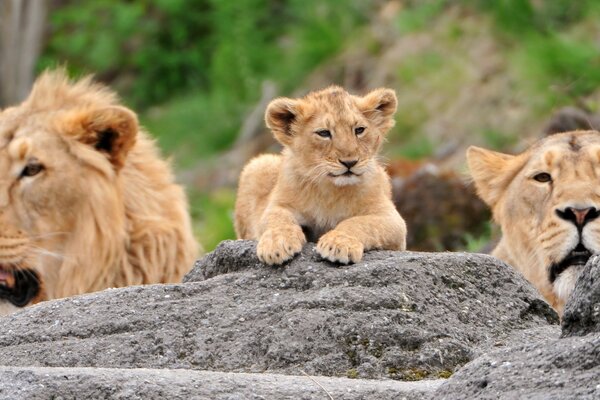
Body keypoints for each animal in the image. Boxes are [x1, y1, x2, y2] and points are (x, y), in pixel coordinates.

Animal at [234, 85, 408, 264]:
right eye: (324, 133)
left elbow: (358, 222)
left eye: (359, 130)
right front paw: (276, 244)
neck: (330, 190)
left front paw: (338, 244)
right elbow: (277, 219)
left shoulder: (392, 221)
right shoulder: (277, 205)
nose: (350, 162)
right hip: (259, 164)